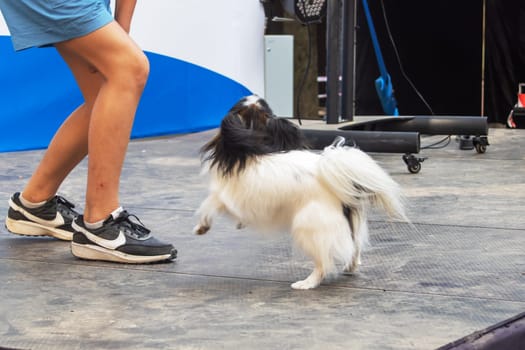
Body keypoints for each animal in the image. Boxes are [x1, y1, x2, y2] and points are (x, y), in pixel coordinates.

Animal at [194, 95, 408, 290]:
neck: (254, 145)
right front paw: (236, 223)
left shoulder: (227, 194)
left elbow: (208, 205)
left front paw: (201, 227)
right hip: (349, 225)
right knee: (353, 247)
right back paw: (350, 266)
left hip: (307, 227)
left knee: (324, 263)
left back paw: (306, 283)